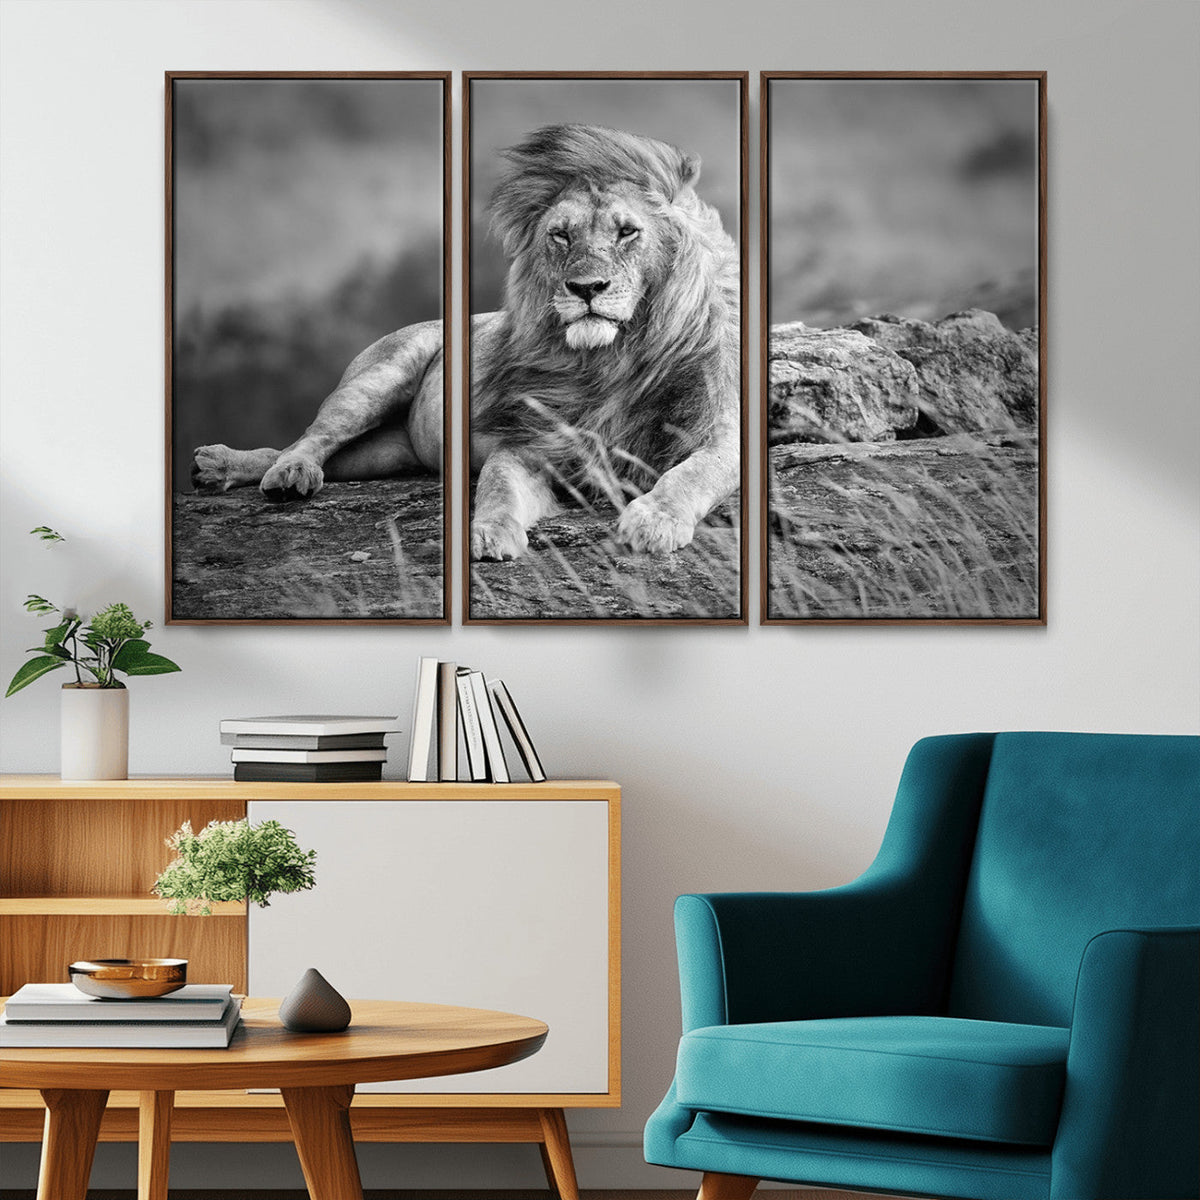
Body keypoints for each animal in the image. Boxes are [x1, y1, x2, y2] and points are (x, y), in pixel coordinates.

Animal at [191, 123, 741, 560]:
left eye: (628, 232)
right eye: (560, 236)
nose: (585, 288)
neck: (613, 359)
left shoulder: (722, 432)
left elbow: (694, 472)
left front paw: (653, 520)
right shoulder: (530, 443)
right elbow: (496, 486)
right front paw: (486, 534)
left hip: (389, 453)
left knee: (311, 452)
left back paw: (223, 468)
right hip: (377, 379)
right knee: (310, 438)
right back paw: (275, 472)